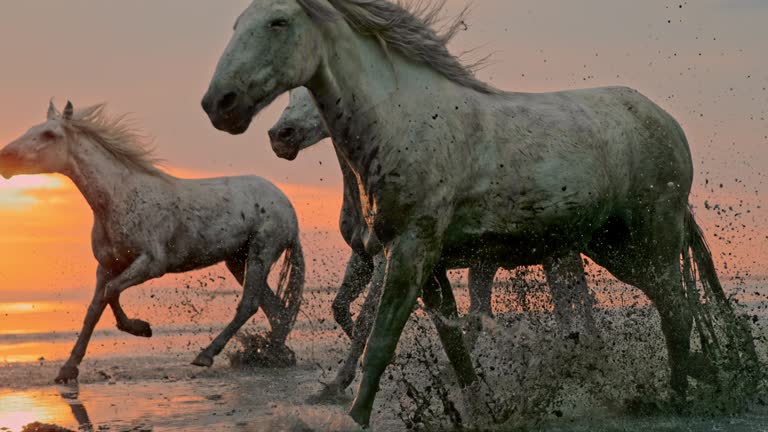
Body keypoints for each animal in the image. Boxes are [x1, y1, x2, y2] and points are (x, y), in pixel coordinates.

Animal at [0, 100, 306, 382]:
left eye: (49, 134)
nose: (5, 157)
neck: (119, 199)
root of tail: (287, 204)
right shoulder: (106, 266)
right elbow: (94, 310)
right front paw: (68, 369)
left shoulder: (151, 263)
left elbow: (111, 292)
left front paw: (141, 328)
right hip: (238, 260)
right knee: (275, 309)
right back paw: (271, 355)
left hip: (260, 253)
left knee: (250, 304)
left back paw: (207, 355)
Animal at [270, 86, 600, 400]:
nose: (281, 135)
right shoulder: (361, 257)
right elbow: (340, 306)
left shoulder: (385, 260)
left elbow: (366, 318)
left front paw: (339, 383)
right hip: (496, 264)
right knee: (494, 312)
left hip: (555, 257)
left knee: (576, 303)